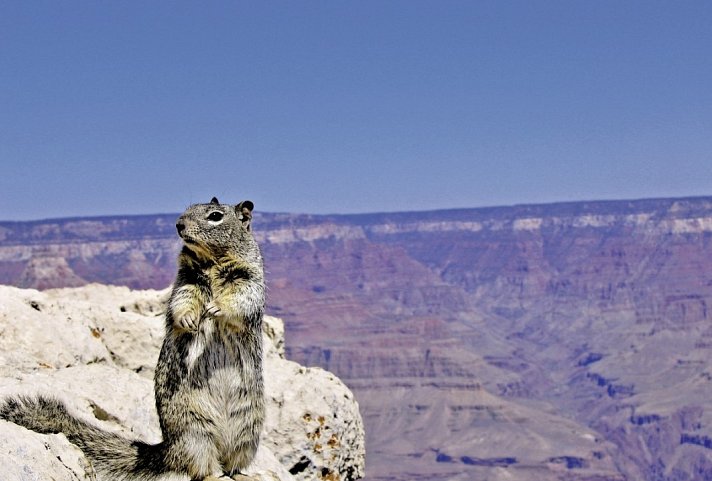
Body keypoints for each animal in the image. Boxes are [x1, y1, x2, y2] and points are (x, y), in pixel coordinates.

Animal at [0, 197, 266, 478]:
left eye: (215, 216)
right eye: (188, 209)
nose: (179, 224)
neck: (211, 261)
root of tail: (167, 448)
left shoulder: (249, 277)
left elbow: (241, 299)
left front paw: (216, 308)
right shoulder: (186, 279)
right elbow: (182, 300)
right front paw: (188, 320)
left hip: (247, 434)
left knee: (232, 465)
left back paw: (242, 474)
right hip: (194, 431)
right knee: (199, 466)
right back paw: (212, 475)